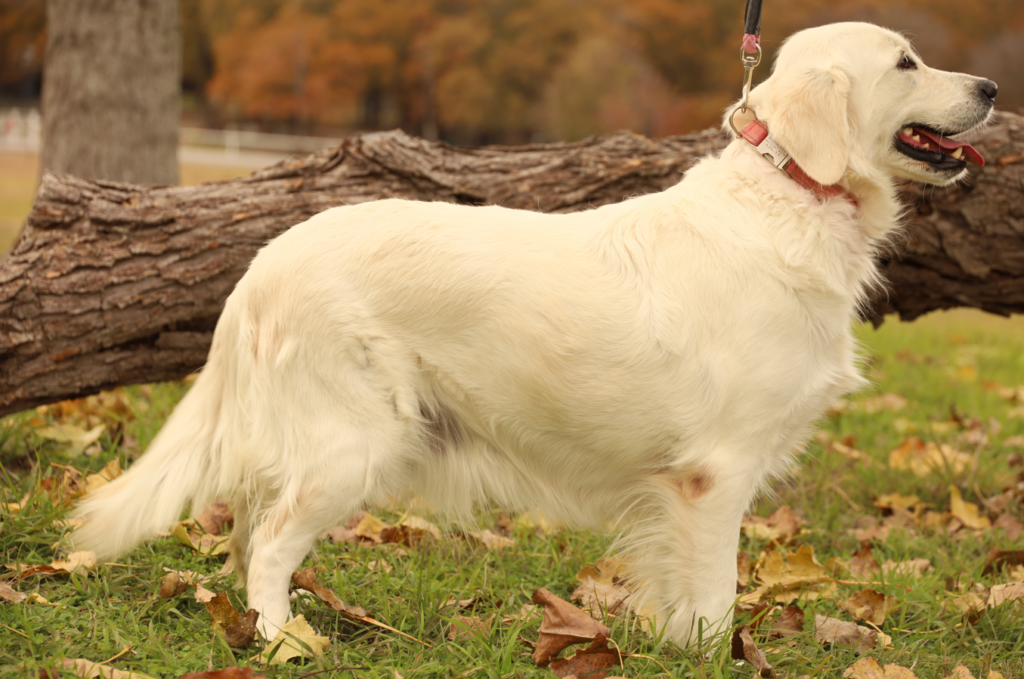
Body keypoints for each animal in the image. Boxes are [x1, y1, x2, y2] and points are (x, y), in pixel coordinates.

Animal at [74, 22, 999, 647]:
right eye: (907, 63)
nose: (991, 90)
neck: (793, 200)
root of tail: (263, 262)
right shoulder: (716, 474)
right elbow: (714, 600)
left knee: (247, 534)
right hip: (355, 443)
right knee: (268, 545)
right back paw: (283, 641)